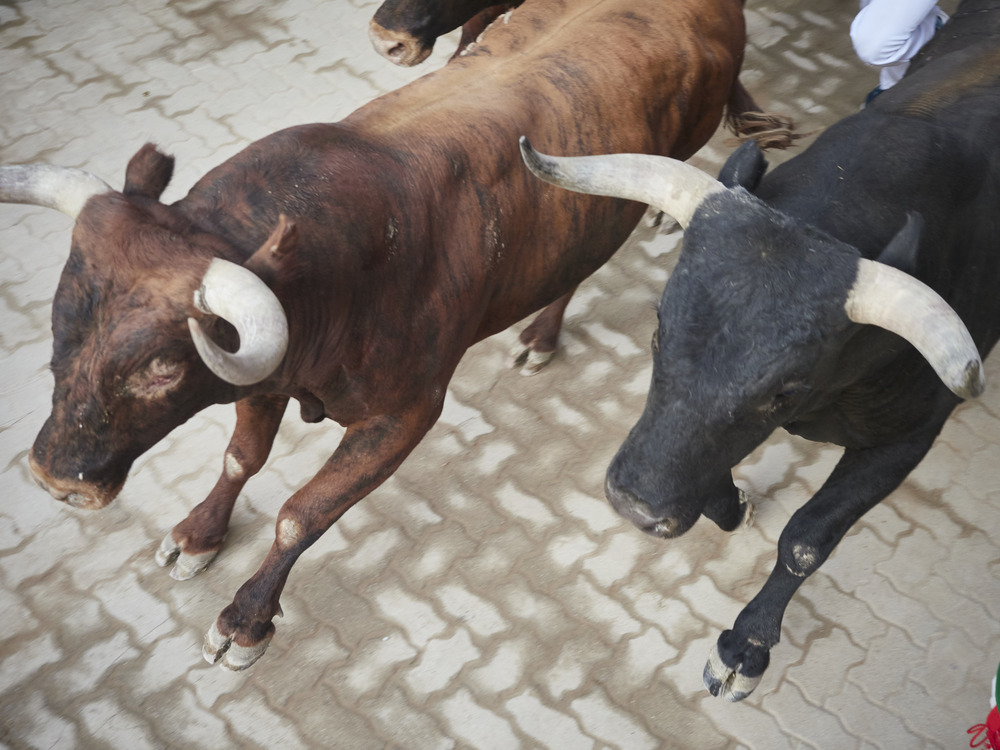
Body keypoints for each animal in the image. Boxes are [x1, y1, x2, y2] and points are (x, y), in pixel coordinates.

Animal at [1, 0, 780, 668]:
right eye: (60, 315)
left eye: (162, 366)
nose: (52, 478)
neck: (333, 278)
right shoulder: (262, 375)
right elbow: (241, 458)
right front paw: (198, 534)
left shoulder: (404, 416)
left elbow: (300, 514)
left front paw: (245, 620)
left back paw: (554, 322)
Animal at [524, 0, 1000, 704]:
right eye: (659, 330)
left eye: (784, 390)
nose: (636, 505)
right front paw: (729, 505)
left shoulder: (908, 436)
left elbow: (806, 538)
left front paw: (745, 646)